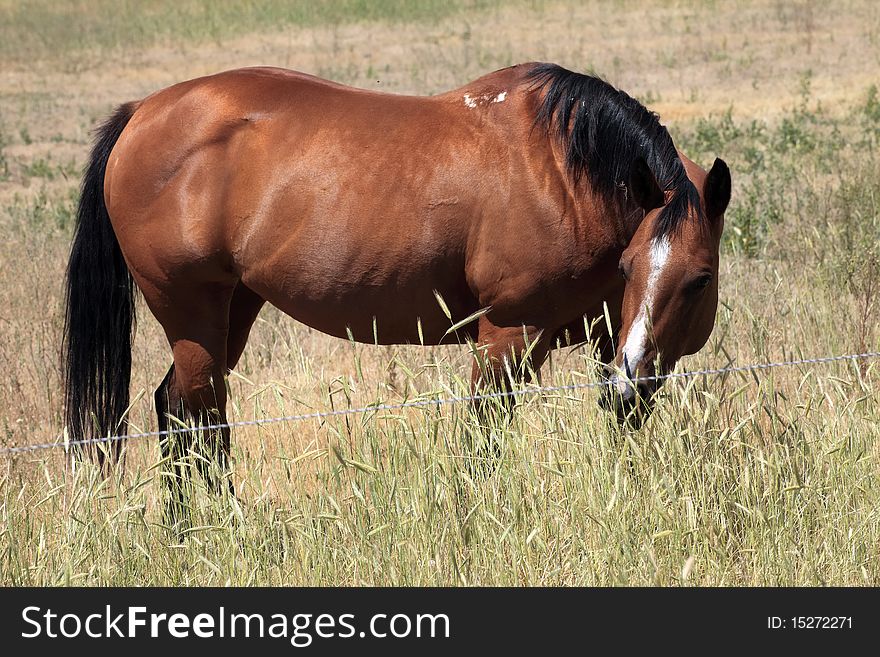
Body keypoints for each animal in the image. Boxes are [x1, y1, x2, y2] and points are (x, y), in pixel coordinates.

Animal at [63, 62, 728, 524]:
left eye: (699, 278)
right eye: (631, 266)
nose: (628, 388)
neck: (564, 176)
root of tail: (143, 112)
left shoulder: (608, 343)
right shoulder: (508, 335)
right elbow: (482, 437)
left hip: (234, 308)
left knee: (178, 410)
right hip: (191, 312)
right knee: (199, 415)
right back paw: (222, 526)